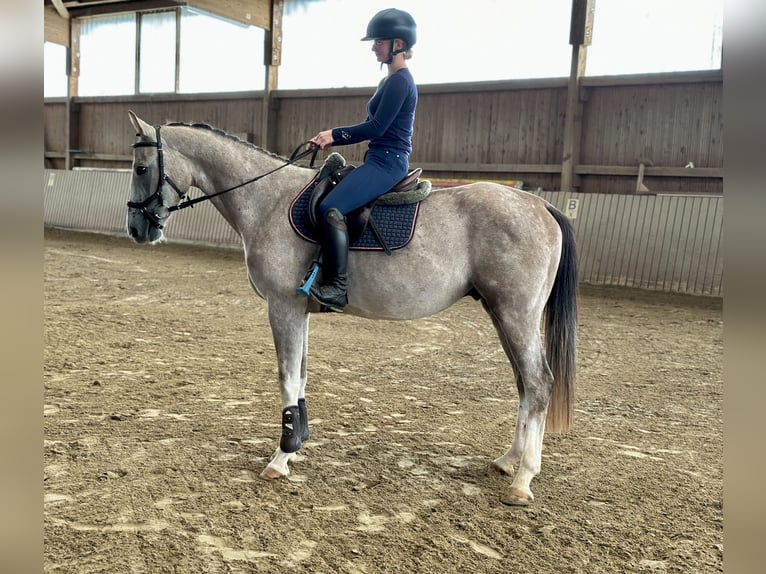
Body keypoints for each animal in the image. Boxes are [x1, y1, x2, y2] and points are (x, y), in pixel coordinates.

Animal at [126, 110, 580, 506]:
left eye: (141, 169)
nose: (136, 228)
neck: (267, 200)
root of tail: (540, 206)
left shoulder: (283, 306)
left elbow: (287, 378)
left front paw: (281, 456)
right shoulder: (299, 310)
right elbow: (301, 376)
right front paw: (297, 444)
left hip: (516, 314)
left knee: (539, 382)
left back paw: (523, 480)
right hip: (500, 313)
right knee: (524, 384)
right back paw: (508, 461)